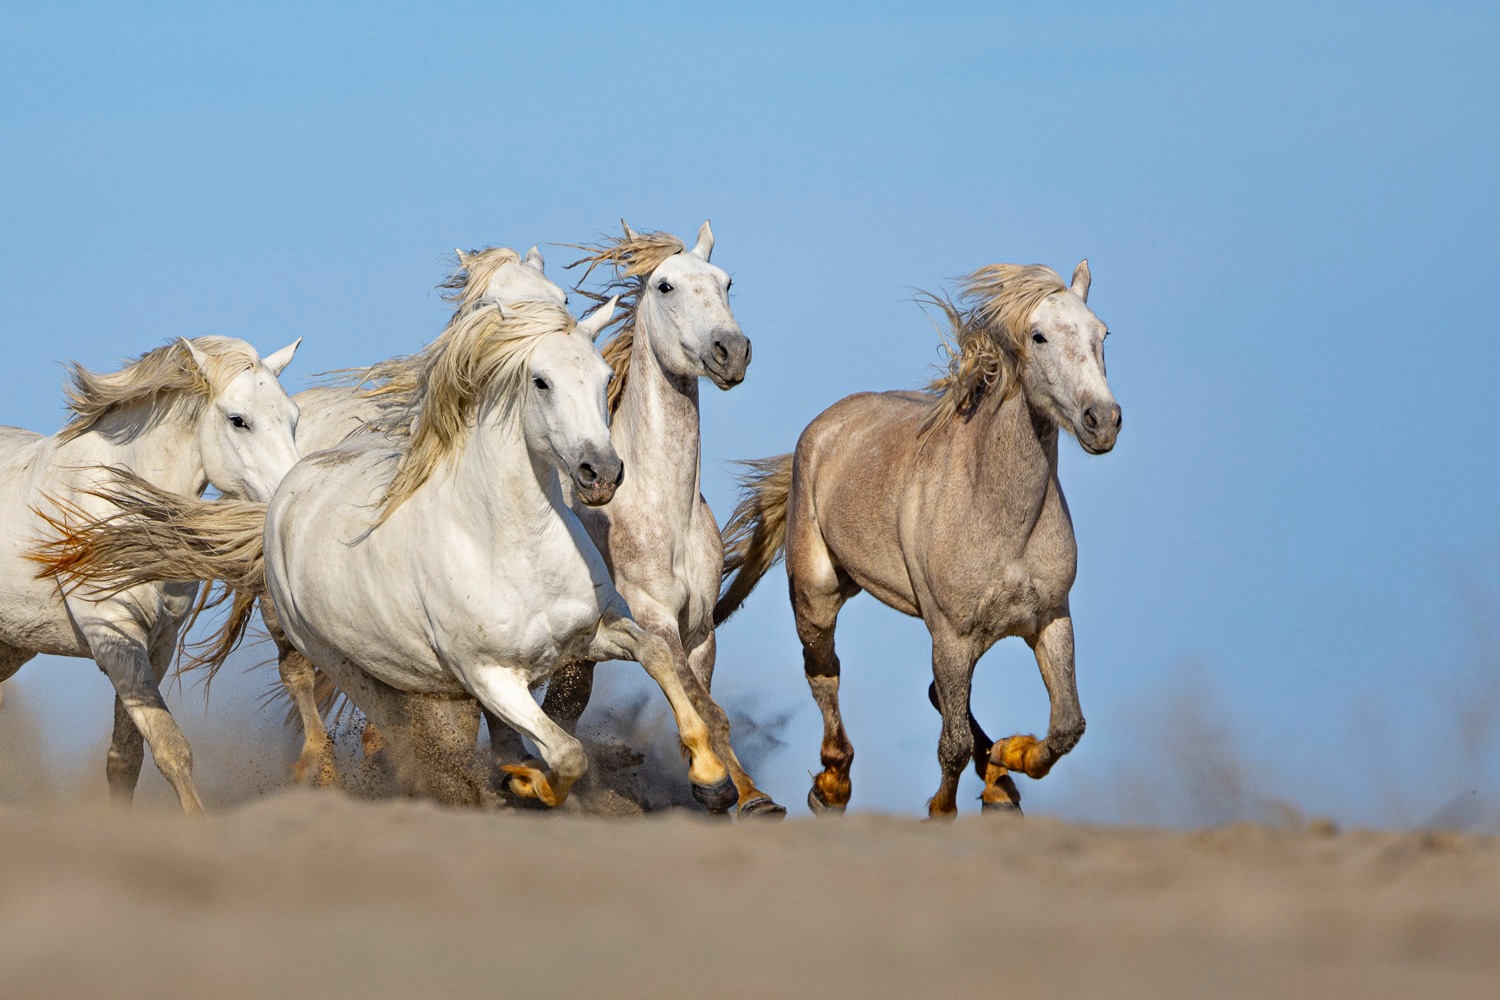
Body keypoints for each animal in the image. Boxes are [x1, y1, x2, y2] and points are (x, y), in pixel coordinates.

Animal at [6, 335, 301, 813]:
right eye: (239, 420)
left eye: (294, 417)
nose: (290, 499)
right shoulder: (114, 634)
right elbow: (170, 747)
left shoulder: (159, 643)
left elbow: (127, 759)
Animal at [40, 298, 741, 812]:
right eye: (541, 381)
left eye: (602, 378)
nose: (602, 472)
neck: (510, 542)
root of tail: (287, 489)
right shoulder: (489, 674)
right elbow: (567, 753)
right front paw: (529, 783)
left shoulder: (593, 631)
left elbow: (658, 657)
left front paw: (711, 778)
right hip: (345, 663)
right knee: (398, 735)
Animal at [537, 222, 785, 818]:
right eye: (665, 286)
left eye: (726, 281)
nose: (731, 351)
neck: (663, 511)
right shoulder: (654, 619)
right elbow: (705, 707)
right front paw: (718, 785)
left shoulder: (699, 632)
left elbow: (710, 707)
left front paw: (750, 796)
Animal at [714, 260, 1122, 818]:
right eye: (1039, 336)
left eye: (1102, 334)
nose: (1102, 420)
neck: (1000, 516)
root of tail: (823, 427)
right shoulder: (950, 634)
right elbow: (952, 745)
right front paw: (945, 808)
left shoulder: (1051, 618)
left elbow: (1066, 728)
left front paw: (1010, 758)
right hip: (817, 594)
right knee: (824, 673)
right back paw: (830, 787)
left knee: (939, 697)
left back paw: (998, 781)